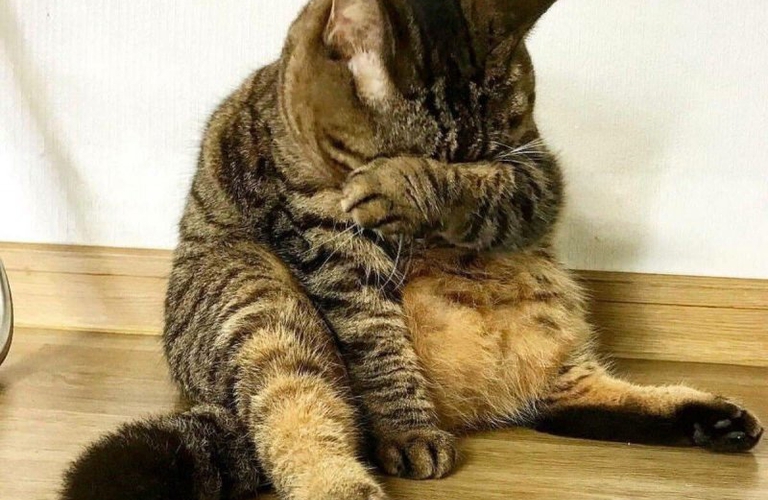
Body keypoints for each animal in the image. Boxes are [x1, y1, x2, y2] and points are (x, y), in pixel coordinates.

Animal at [61, 1, 763, 499]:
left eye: (484, 146)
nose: (426, 240)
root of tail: (473, 405)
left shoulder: (535, 169)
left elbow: (487, 189)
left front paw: (418, 186)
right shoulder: (331, 251)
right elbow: (379, 350)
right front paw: (409, 426)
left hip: (551, 342)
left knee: (575, 403)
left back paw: (717, 420)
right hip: (259, 295)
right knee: (304, 425)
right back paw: (353, 481)